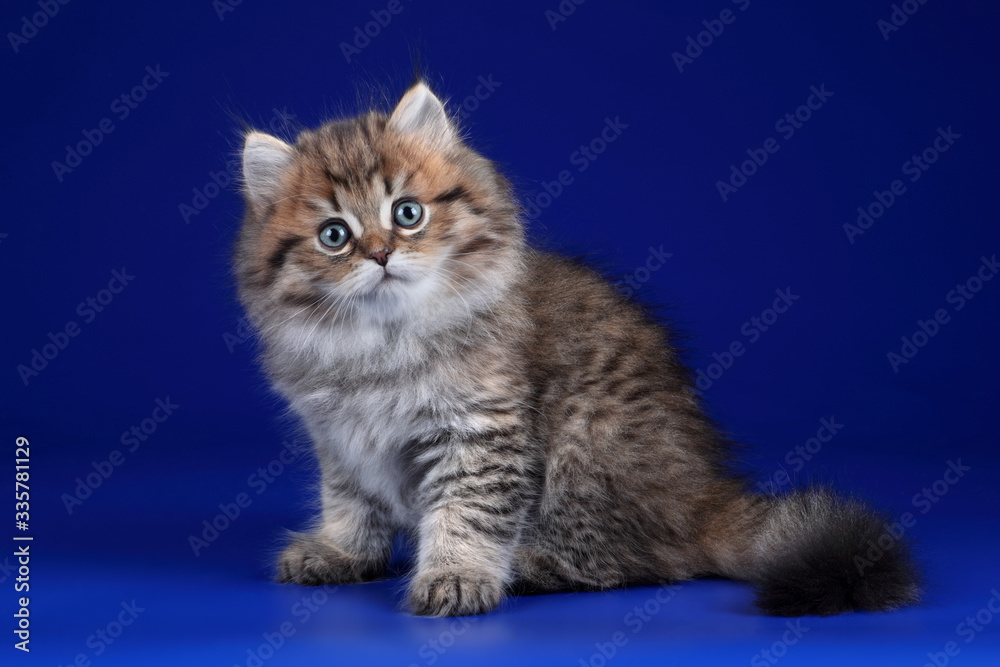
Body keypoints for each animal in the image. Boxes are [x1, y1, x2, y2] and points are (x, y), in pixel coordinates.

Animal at [234, 81, 920, 620]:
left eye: (407, 213)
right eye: (334, 236)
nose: (379, 254)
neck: (379, 343)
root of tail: (703, 497)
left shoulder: (482, 430)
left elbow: (466, 513)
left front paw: (456, 576)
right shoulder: (340, 439)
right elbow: (352, 504)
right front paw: (343, 551)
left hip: (590, 444)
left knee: (648, 561)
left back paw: (528, 565)